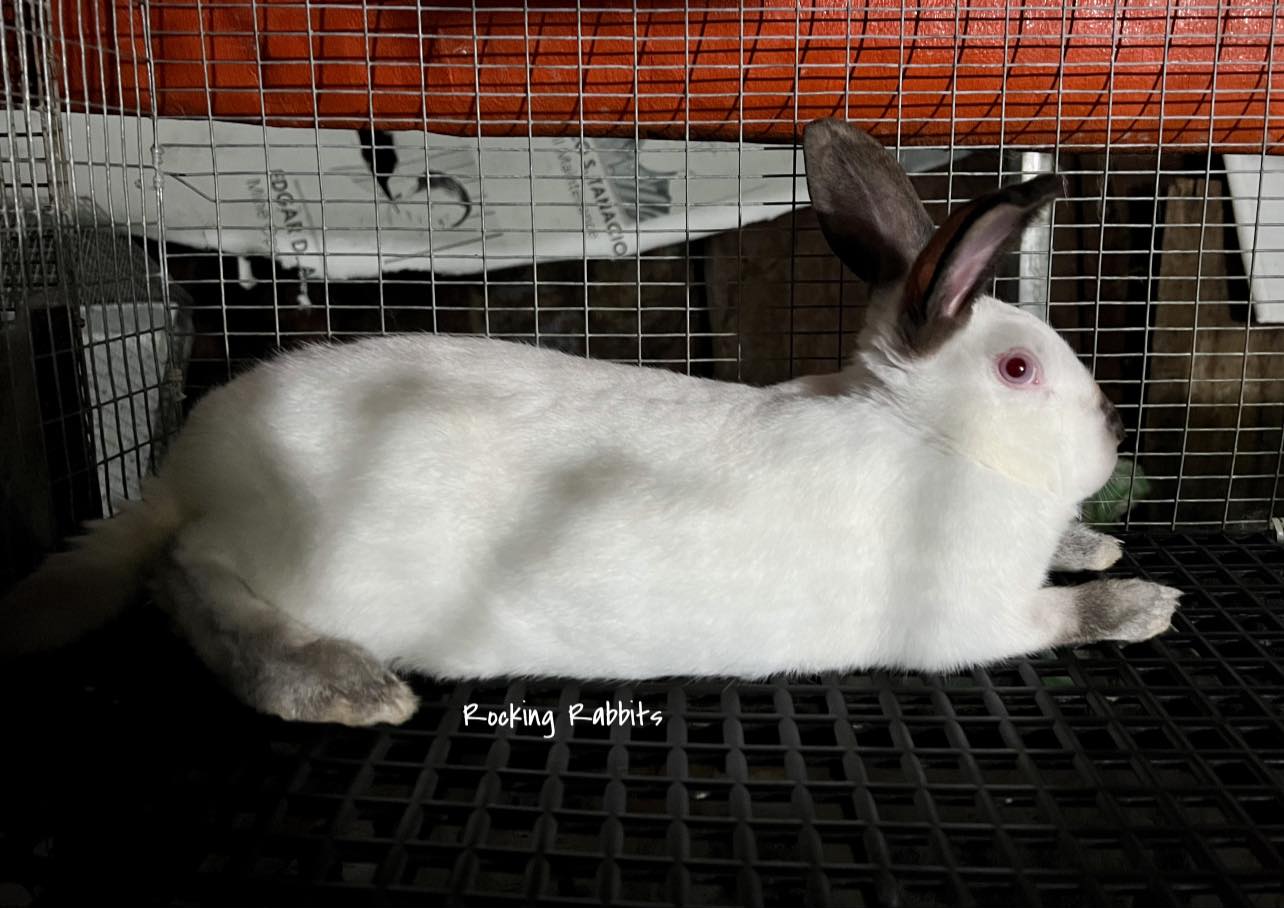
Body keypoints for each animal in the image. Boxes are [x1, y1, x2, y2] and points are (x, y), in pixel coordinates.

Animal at [1, 119, 1180, 726]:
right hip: (283, 564)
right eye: (1020, 368)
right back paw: (339, 682)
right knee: (190, 582)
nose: (1111, 434)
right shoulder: (969, 615)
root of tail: (184, 475)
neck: (930, 436)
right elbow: (1052, 619)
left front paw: (1096, 541)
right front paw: (1140, 602)